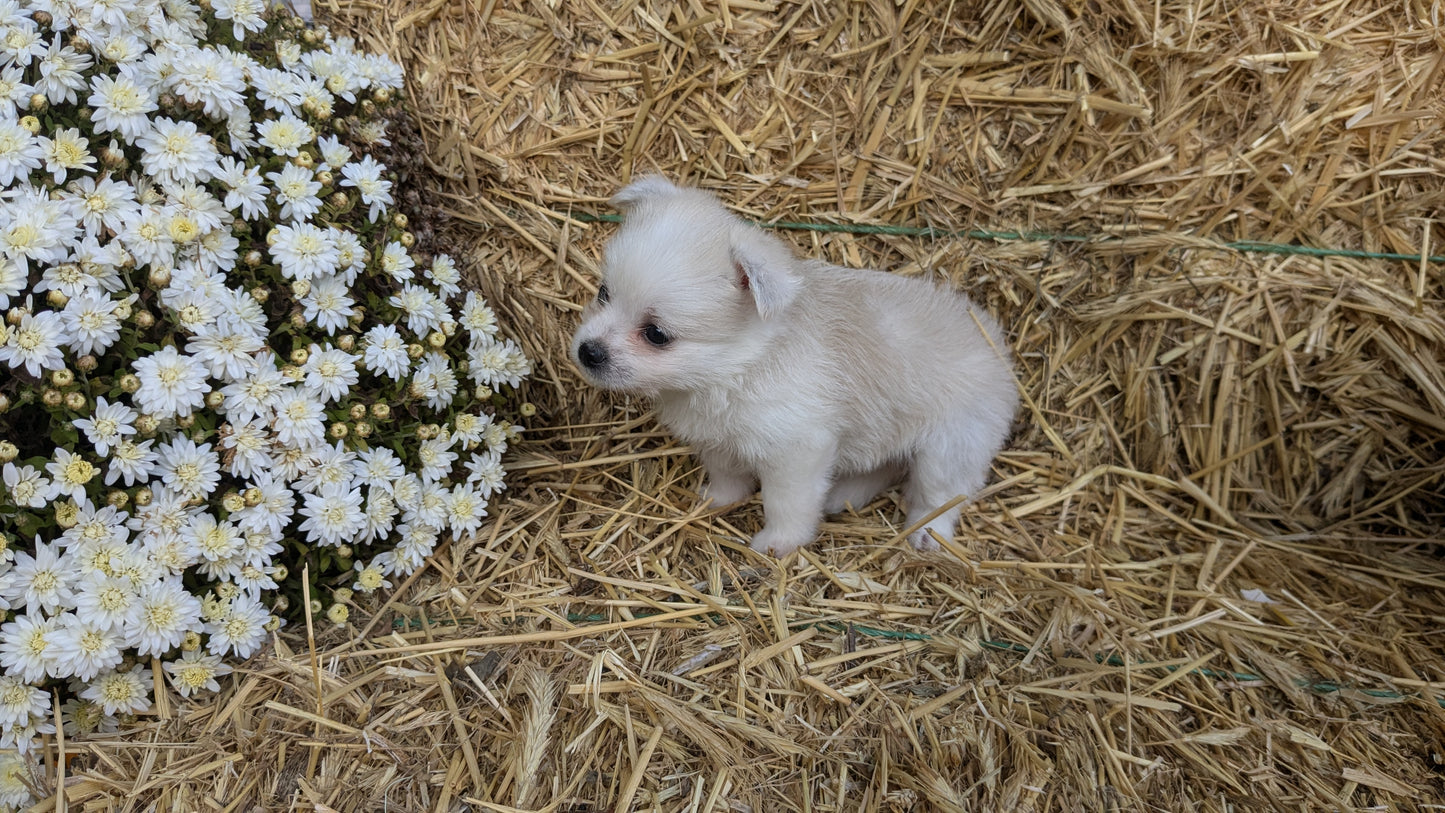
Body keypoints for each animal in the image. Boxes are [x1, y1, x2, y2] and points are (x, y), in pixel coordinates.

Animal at [566, 178, 1017, 557]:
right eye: (603, 293)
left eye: (656, 334)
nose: (588, 352)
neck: (738, 366)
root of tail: (994, 340)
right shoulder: (719, 440)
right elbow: (728, 477)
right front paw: (718, 501)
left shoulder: (797, 452)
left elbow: (785, 504)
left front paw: (778, 544)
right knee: (887, 466)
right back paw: (842, 495)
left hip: (952, 446)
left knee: (940, 496)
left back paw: (927, 534)